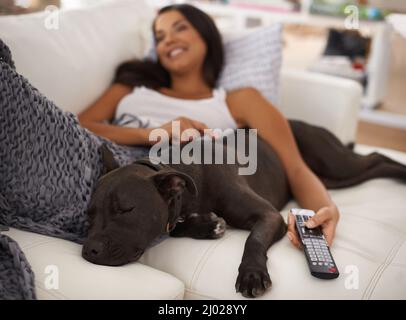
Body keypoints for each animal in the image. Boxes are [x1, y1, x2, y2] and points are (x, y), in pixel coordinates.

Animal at [82, 120, 406, 298]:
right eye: (89, 216)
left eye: (126, 209)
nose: (88, 250)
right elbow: (179, 227)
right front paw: (207, 225)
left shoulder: (270, 215)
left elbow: (254, 240)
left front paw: (252, 274)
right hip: (336, 178)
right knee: (376, 164)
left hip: (336, 164)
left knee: (376, 156)